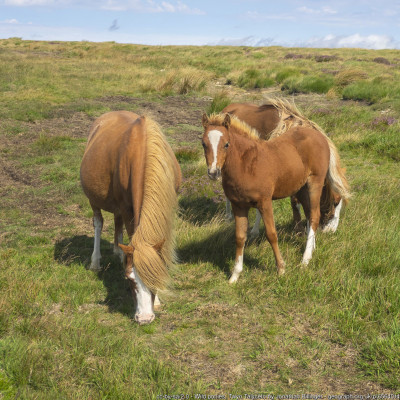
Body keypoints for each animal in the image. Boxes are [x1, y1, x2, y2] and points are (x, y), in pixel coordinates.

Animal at [80, 111, 180, 324]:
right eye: (130, 279)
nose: (144, 318)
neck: (143, 151)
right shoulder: (127, 208)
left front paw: (158, 299)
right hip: (94, 200)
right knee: (98, 223)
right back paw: (96, 262)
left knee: (116, 222)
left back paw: (119, 252)